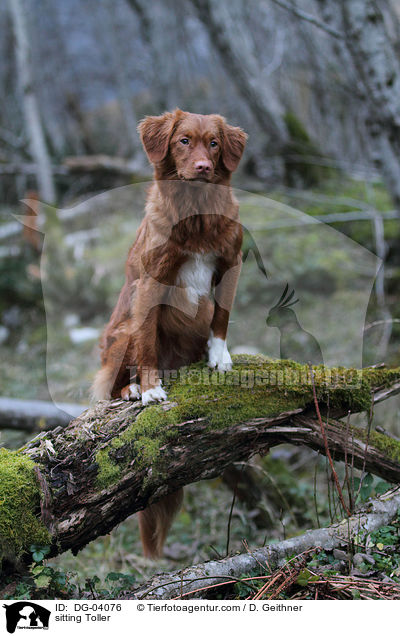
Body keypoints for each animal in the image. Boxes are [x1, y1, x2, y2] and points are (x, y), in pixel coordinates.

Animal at [91, 109, 247, 556]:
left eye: (214, 143)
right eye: (183, 141)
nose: (204, 167)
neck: (194, 210)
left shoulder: (231, 262)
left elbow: (221, 317)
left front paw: (219, 355)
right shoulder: (149, 283)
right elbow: (146, 341)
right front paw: (150, 389)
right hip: (120, 330)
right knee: (113, 381)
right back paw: (130, 389)